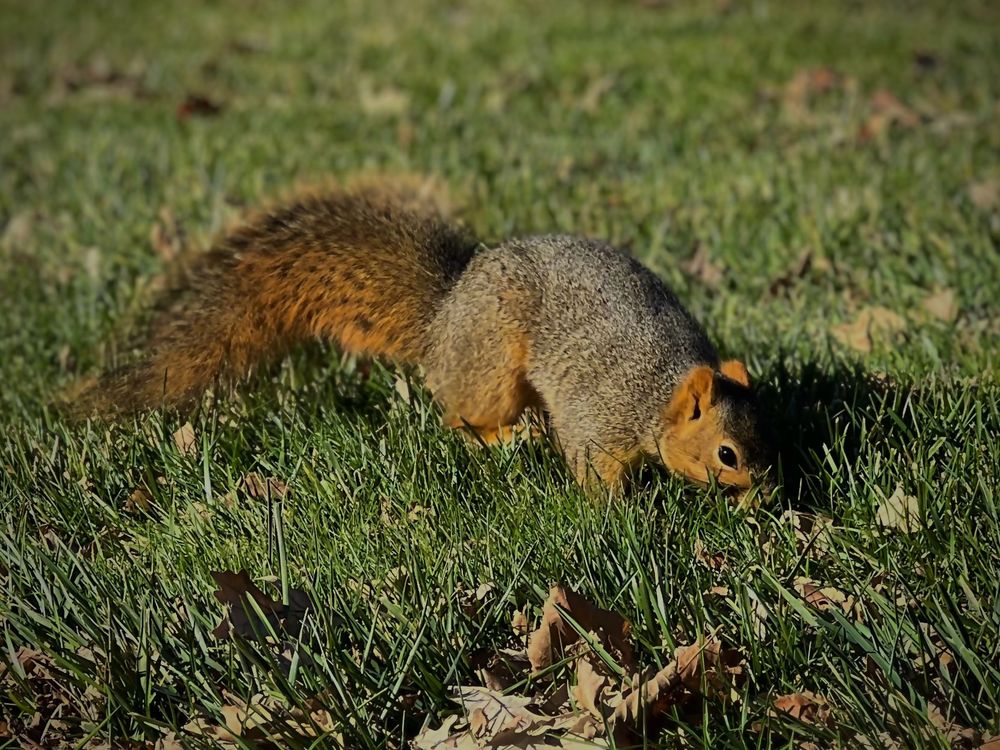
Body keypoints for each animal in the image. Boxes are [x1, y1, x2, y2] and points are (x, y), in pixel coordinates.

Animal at [70, 179, 774, 496]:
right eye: (726, 454)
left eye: (765, 438)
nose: (765, 493)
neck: (660, 392)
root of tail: (443, 318)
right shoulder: (602, 416)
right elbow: (591, 465)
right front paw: (622, 516)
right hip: (490, 372)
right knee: (460, 415)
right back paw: (505, 439)